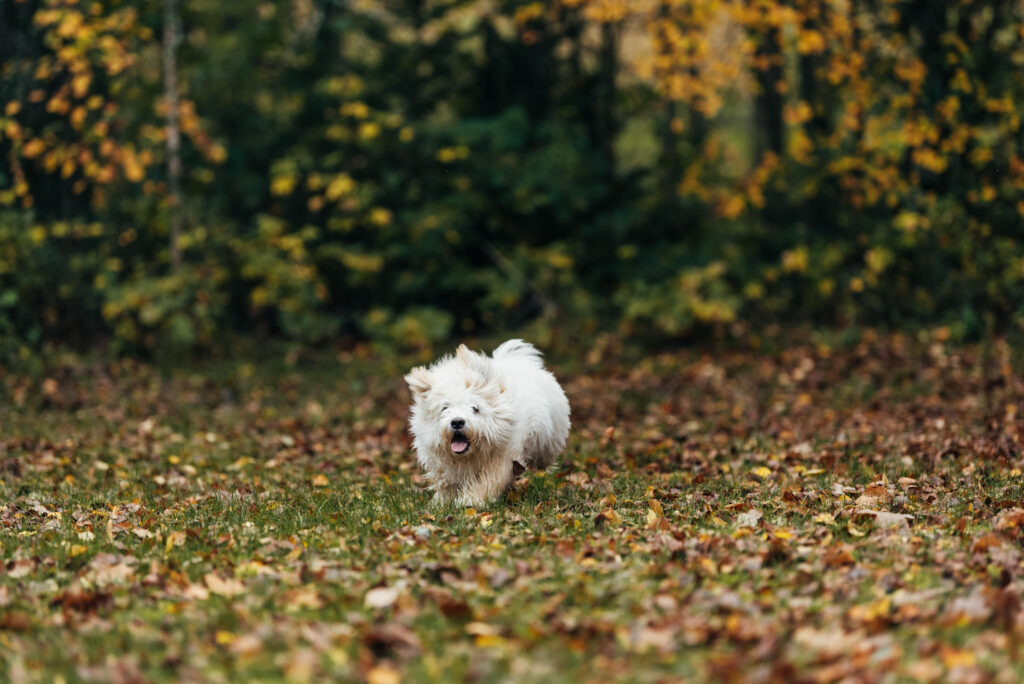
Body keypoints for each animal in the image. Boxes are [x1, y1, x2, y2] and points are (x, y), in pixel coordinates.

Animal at [405, 337, 569, 505]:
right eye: (444, 408)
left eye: (475, 408)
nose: (457, 422)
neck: (469, 456)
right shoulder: (441, 463)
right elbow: (445, 482)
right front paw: (442, 502)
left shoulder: (503, 458)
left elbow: (489, 480)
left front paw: (470, 500)